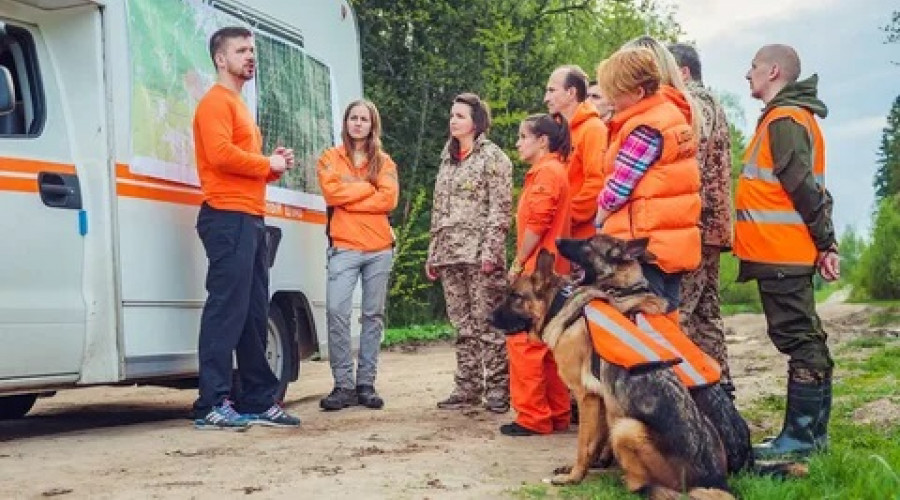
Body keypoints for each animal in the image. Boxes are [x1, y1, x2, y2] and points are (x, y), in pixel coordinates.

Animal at [488, 248, 736, 498]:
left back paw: (633, 483)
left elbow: (583, 444)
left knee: (650, 485)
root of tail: (714, 482)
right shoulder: (601, 399)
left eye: (515, 296)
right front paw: (586, 466)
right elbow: (595, 441)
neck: (560, 307)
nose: (488, 318)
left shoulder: (586, 397)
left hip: (627, 428)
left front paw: (573, 477)